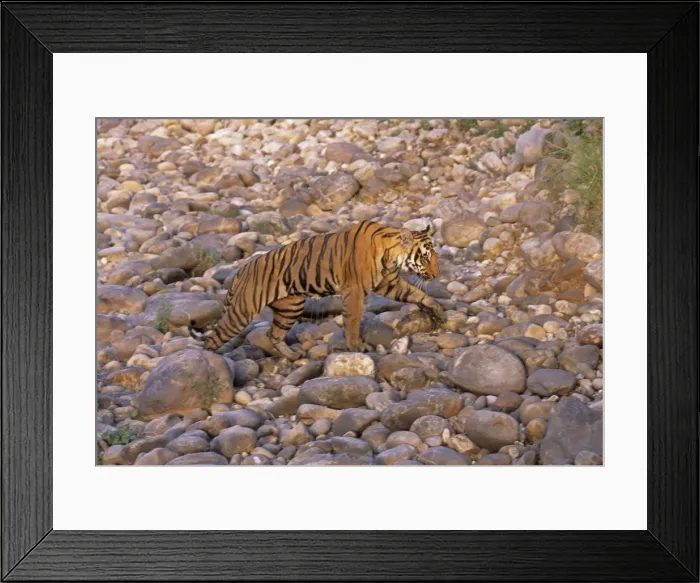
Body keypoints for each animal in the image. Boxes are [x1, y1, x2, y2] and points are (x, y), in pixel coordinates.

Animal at [190, 220, 446, 360]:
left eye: (434, 256)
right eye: (425, 257)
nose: (436, 275)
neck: (392, 255)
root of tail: (240, 271)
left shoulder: (389, 284)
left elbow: (418, 294)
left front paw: (438, 311)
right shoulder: (354, 291)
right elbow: (353, 320)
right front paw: (356, 346)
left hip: (291, 306)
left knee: (273, 334)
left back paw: (293, 356)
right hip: (242, 312)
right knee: (213, 338)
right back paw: (211, 363)